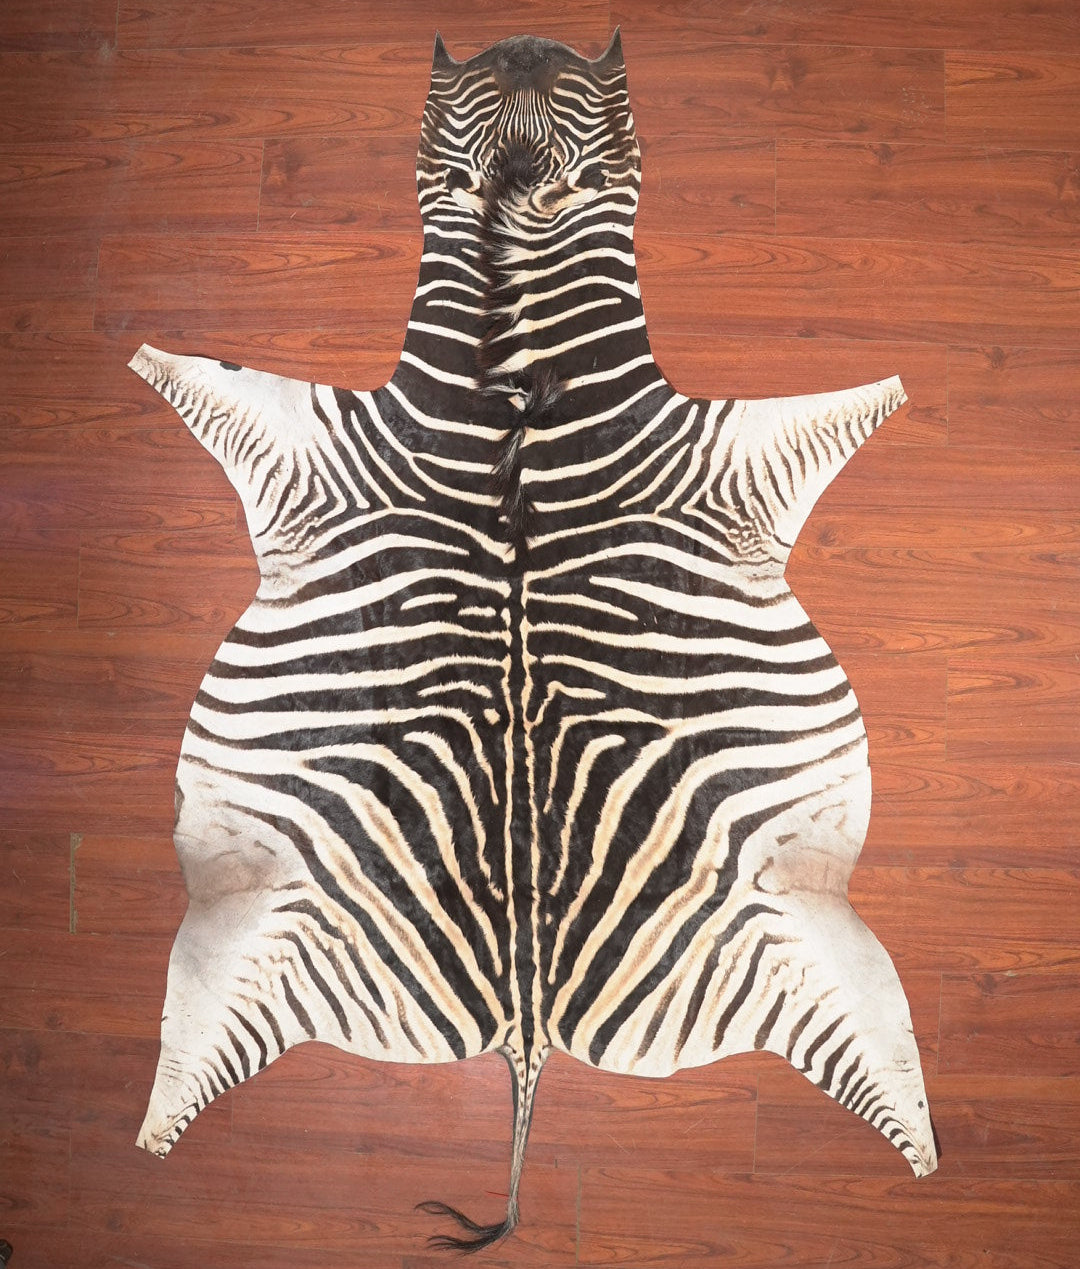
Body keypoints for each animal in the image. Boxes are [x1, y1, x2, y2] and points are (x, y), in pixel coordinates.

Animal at [130, 31, 937, 1250]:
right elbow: (209, 380)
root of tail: (525, 1030)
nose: (523, 41)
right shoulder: (328, 439)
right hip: (271, 910)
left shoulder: (721, 446)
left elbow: (846, 401)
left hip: (790, 916)